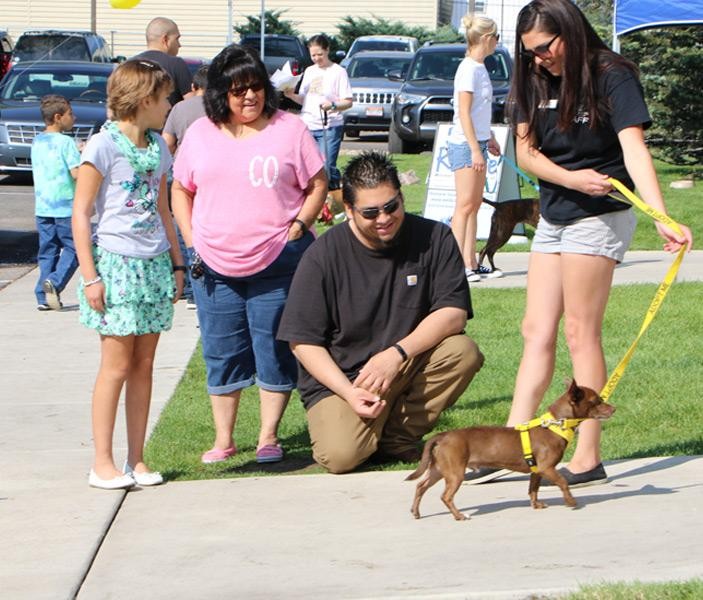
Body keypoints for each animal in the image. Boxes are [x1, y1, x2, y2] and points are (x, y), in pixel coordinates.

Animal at [408, 382, 616, 524]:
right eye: (597, 401)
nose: (614, 408)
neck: (555, 426)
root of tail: (442, 435)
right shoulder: (547, 468)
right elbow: (563, 482)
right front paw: (571, 501)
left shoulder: (537, 471)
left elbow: (533, 489)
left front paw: (536, 505)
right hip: (454, 473)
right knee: (446, 496)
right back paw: (459, 516)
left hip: (438, 470)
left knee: (420, 486)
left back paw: (416, 512)